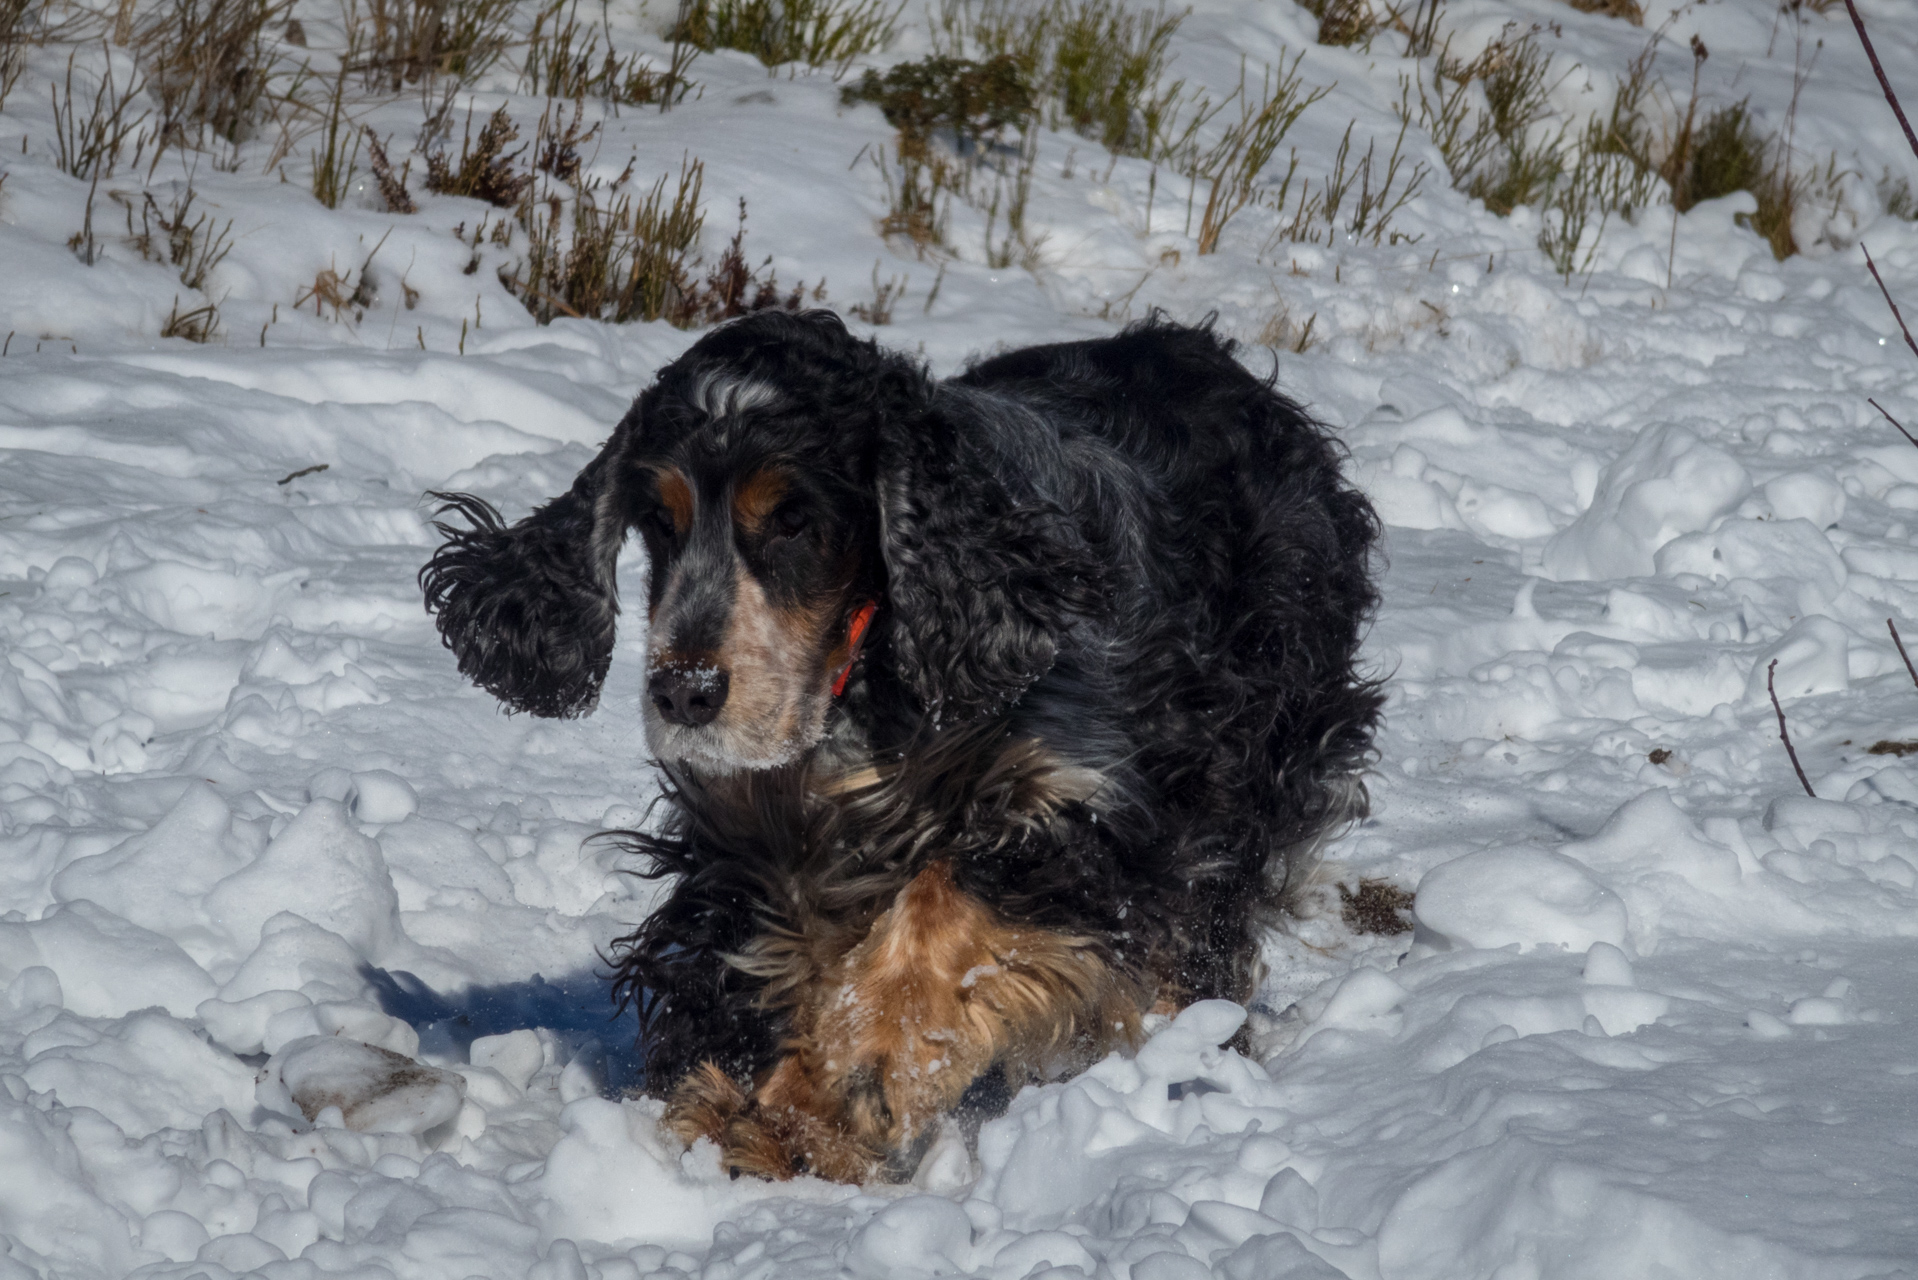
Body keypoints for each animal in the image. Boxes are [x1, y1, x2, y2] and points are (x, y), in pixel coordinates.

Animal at [420, 307, 1380, 1182]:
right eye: (658, 520)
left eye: (795, 520)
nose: (685, 692)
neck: (862, 689)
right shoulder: (753, 855)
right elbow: (769, 964)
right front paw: (765, 1115)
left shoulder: (1085, 814)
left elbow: (937, 910)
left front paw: (854, 1079)